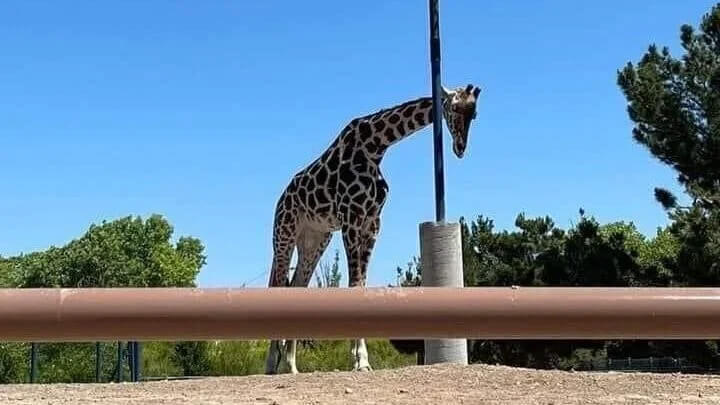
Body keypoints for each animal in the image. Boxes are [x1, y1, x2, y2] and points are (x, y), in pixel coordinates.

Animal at [262, 83, 478, 374]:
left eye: (474, 114)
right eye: (454, 108)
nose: (460, 148)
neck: (376, 146)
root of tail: (281, 198)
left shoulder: (372, 223)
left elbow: (361, 286)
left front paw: (361, 360)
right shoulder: (351, 220)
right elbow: (354, 286)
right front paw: (359, 360)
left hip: (315, 239)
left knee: (297, 287)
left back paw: (291, 366)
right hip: (284, 234)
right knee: (278, 285)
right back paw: (271, 364)